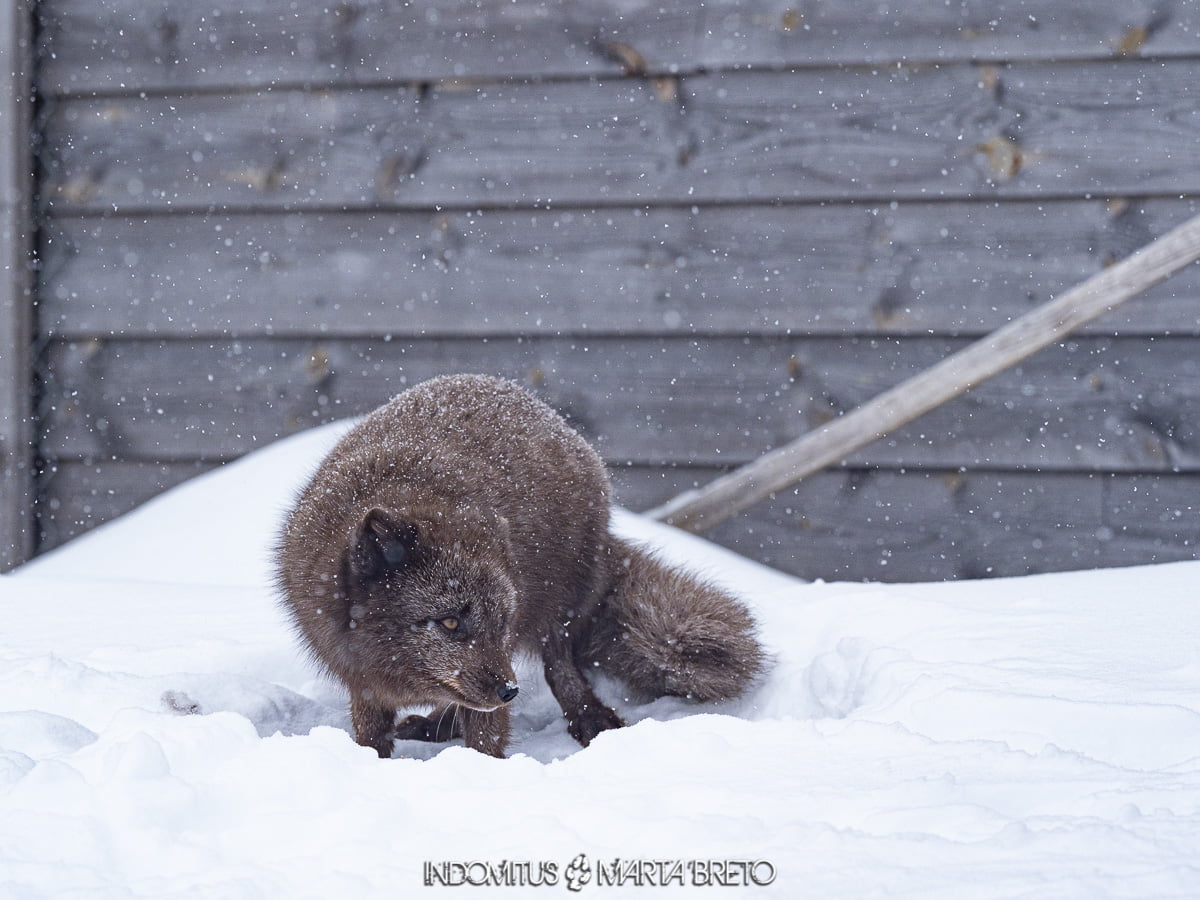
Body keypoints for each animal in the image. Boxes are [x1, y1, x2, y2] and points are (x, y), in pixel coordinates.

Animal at [276, 374, 763, 763]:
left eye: (502, 620)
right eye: (450, 622)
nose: (508, 691)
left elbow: (489, 734)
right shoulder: (361, 680)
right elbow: (371, 735)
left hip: (563, 603)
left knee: (561, 666)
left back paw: (590, 720)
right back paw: (435, 726)